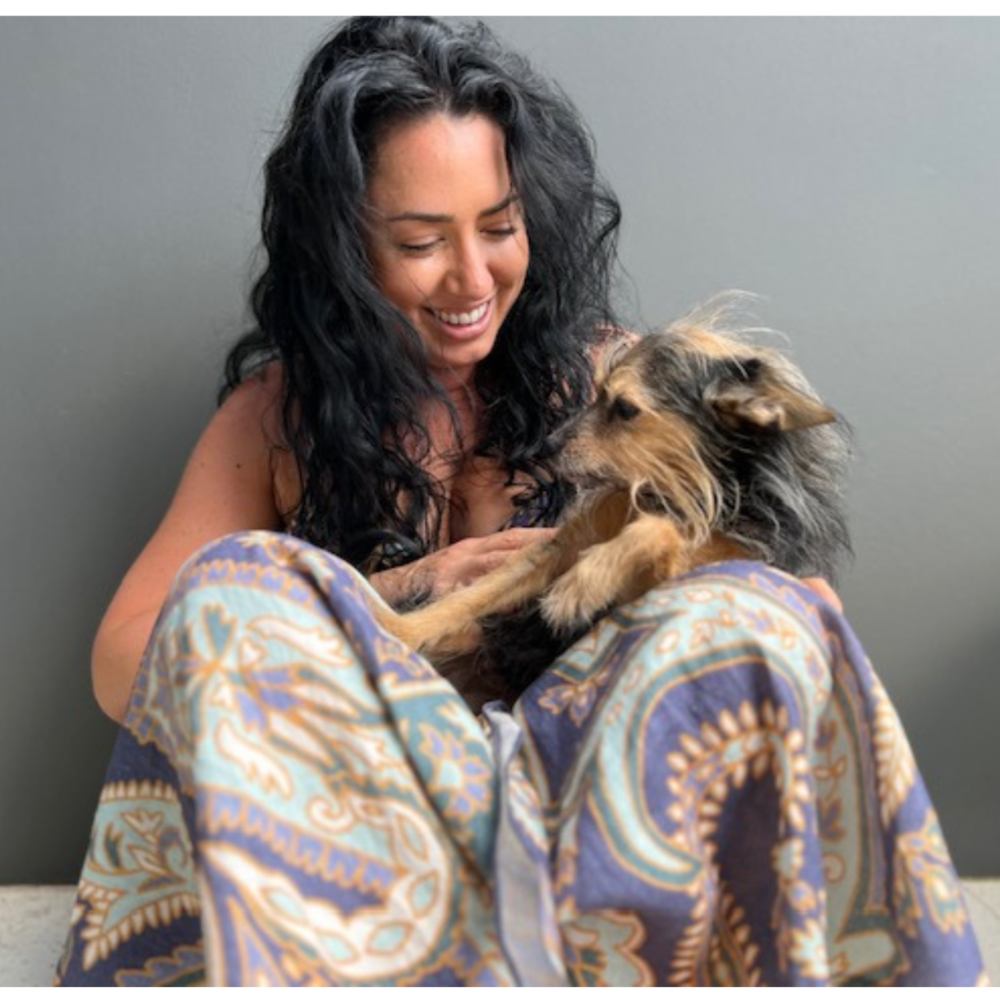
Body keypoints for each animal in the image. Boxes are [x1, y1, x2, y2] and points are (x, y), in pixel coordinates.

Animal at [371, 304, 852, 704]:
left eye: (623, 408)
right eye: (596, 394)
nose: (546, 446)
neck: (665, 488)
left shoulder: (669, 576)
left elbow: (659, 532)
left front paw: (586, 581)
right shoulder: (555, 548)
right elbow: (468, 597)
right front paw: (400, 630)